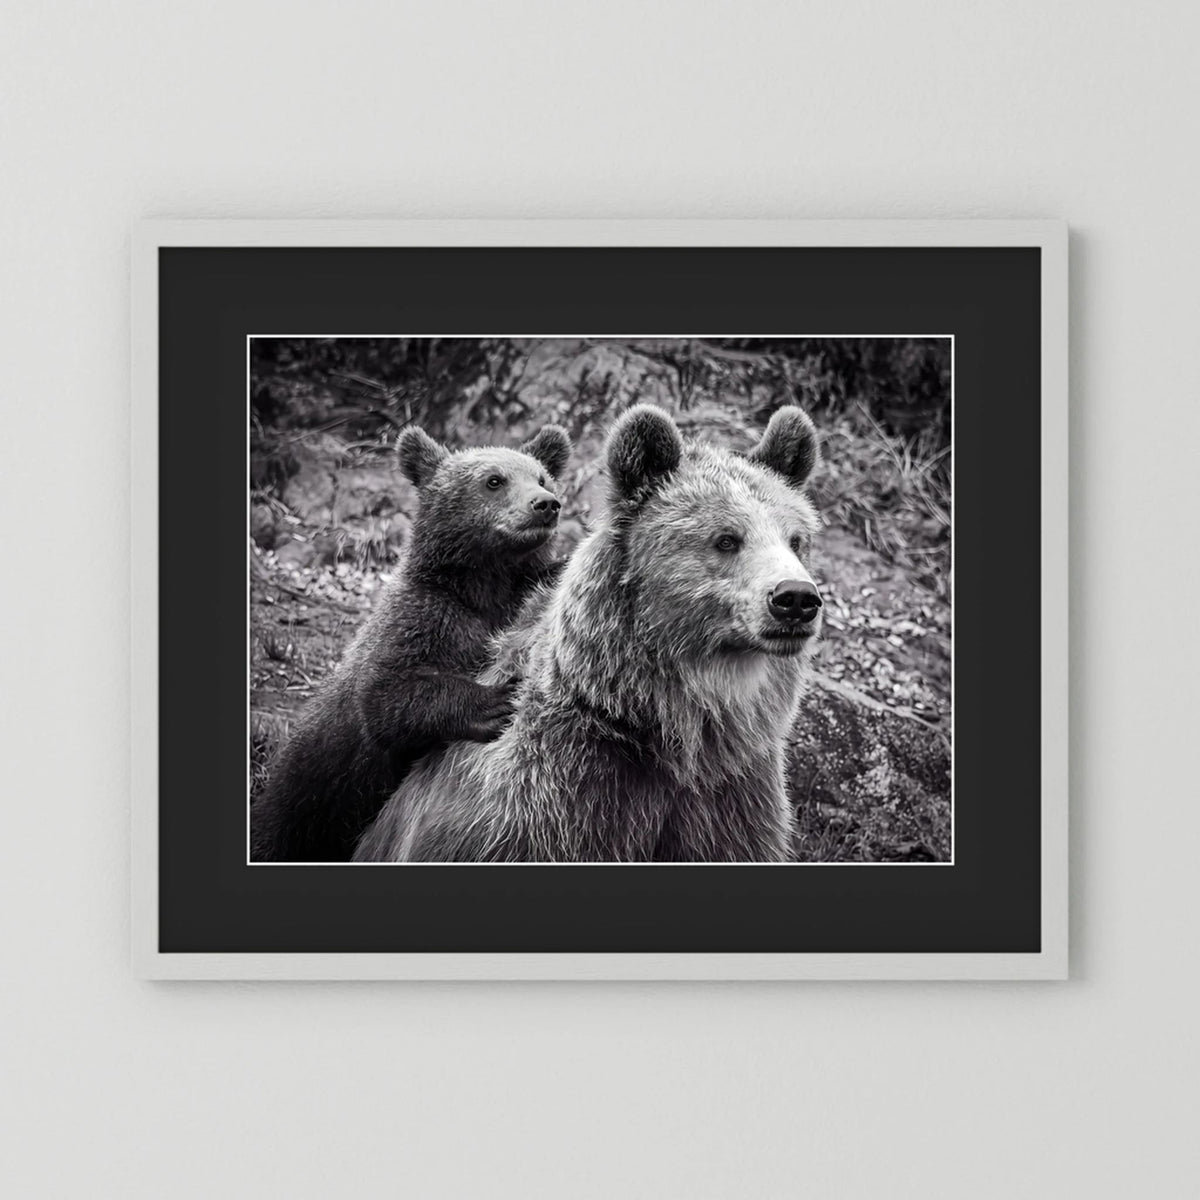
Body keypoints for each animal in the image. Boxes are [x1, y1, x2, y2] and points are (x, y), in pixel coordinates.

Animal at [250, 421, 572, 863]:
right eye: (494, 480)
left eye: (541, 476)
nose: (546, 504)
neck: (484, 587)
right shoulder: (423, 618)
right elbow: (386, 696)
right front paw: (495, 700)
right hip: (309, 801)